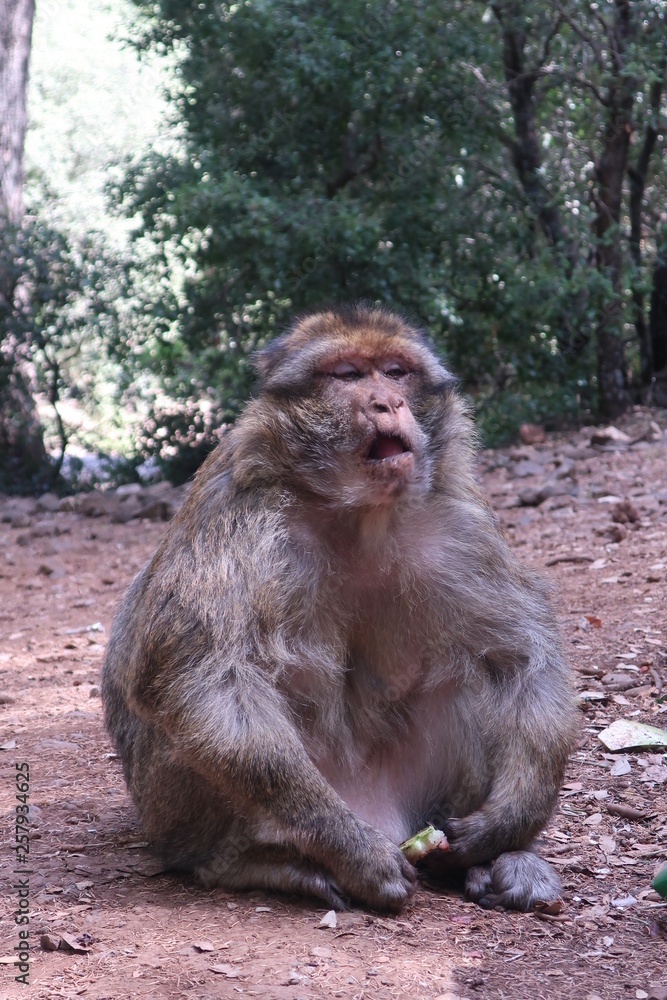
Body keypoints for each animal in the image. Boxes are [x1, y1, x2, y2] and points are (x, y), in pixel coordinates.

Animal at [102, 303, 578, 913]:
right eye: (348, 375)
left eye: (396, 372)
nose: (387, 403)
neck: (358, 515)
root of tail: (386, 813)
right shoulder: (239, 513)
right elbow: (195, 677)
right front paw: (350, 848)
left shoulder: (459, 520)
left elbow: (522, 651)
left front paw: (509, 821)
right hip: (171, 818)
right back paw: (263, 863)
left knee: (477, 670)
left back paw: (498, 862)